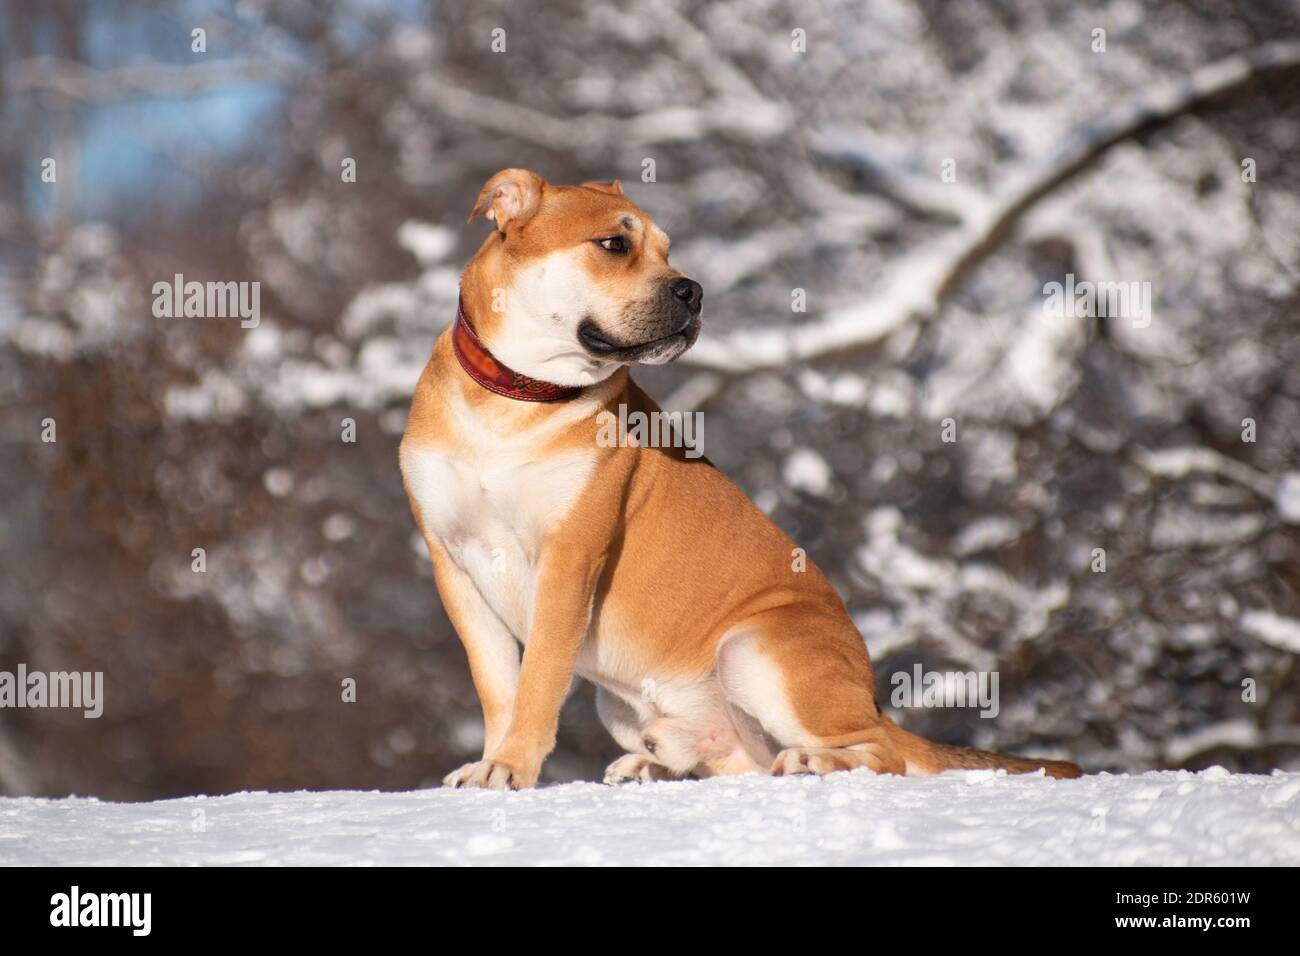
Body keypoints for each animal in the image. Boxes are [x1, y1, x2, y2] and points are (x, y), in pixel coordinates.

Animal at [392, 167, 1076, 790]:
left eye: (668, 249)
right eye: (614, 244)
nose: (693, 290)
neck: (514, 399)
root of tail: (870, 697)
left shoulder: (569, 557)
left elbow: (538, 679)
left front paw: (511, 767)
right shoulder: (455, 563)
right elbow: (498, 686)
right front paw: (492, 762)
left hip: (755, 649)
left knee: (877, 753)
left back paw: (811, 761)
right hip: (633, 703)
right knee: (736, 762)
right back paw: (652, 767)